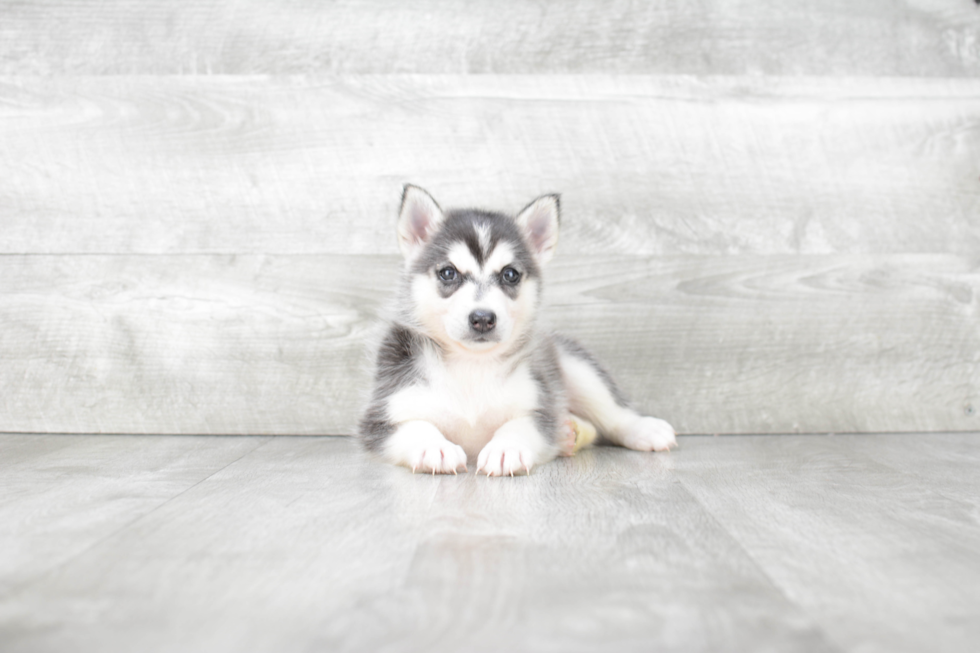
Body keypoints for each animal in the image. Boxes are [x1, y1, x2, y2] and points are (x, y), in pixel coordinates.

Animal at [358, 186, 672, 476]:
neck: (471, 365)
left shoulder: (540, 406)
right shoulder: (380, 416)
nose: (483, 318)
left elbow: (520, 425)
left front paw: (505, 448)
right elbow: (415, 425)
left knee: (612, 412)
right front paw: (433, 446)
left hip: (574, 366)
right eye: (448, 273)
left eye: (510, 274)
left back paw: (642, 429)